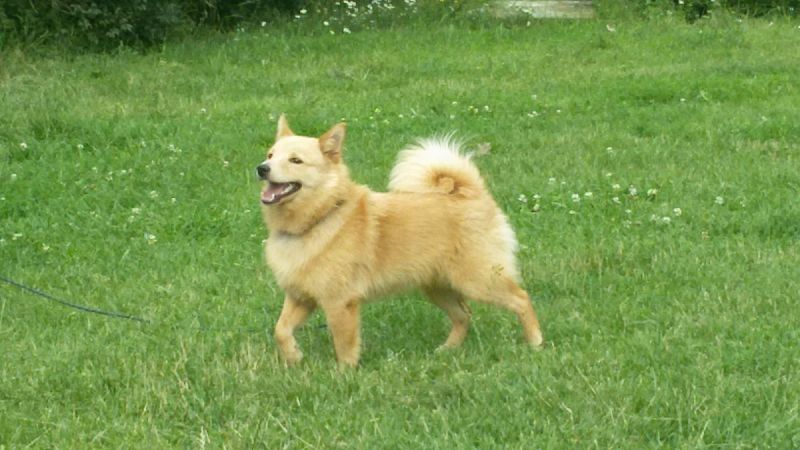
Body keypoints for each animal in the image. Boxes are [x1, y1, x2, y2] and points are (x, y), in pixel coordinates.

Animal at [258, 115, 543, 367]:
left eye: (296, 160)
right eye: (270, 155)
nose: (261, 168)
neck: (322, 216)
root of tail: (470, 193)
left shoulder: (340, 303)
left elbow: (344, 345)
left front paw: (344, 376)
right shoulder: (301, 297)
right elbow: (280, 329)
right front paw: (294, 357)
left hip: (479, 280)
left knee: (521, 299)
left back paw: (535, 342)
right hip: (437, 287)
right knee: (464, 315)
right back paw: (448, 349)